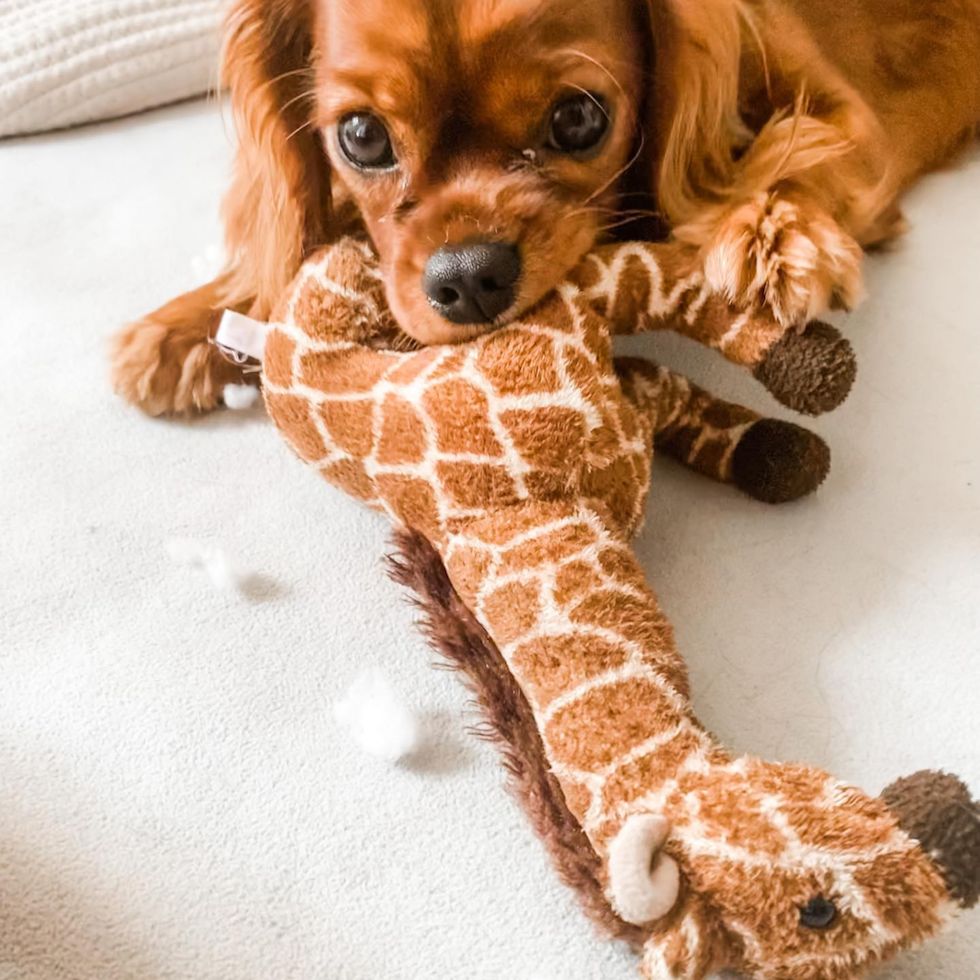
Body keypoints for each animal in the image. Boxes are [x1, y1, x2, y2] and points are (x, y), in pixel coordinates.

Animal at [111, 0, 980, 414]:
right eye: (361, 137)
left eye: (578, 119)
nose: (469, 278)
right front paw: (197, 319)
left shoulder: (854, 122)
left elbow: (805, 153)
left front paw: (776, 235)